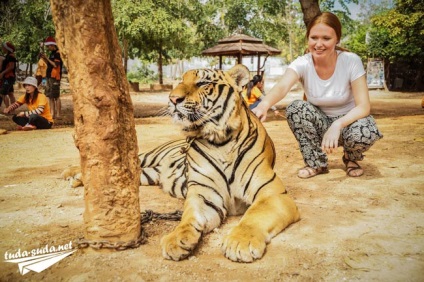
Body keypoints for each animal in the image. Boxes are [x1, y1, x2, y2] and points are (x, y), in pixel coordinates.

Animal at [141, 64, 300, 262]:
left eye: (203, 83)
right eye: (180, 81)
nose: (173, 99)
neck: (220, 142)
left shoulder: (272, 193)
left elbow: (255, 215)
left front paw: (241, 242)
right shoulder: (204, 193)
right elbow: (188, 217)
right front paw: (176, 239)